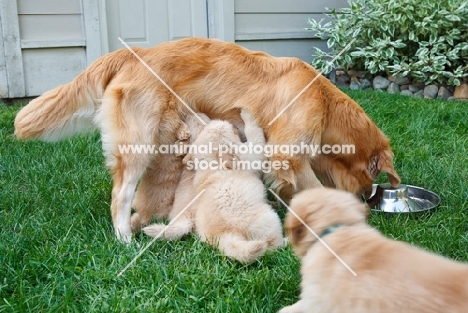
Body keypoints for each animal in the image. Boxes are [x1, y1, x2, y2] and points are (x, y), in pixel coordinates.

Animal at [14, 36, 398, 241]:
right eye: (372, 176)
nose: (369, 197)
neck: (326, 101)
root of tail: (134, 52)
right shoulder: (287, 154)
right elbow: (312, 187)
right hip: (139, 145)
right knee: (119, 196)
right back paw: (124, 239)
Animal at [146, 108, 284, 262]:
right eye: (231, 128)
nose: (235, 126)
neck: (215, 163)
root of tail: (226, 236)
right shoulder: (251, 155)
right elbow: (254, 133)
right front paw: (247, 114)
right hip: (268, 220)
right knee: (273, 244)